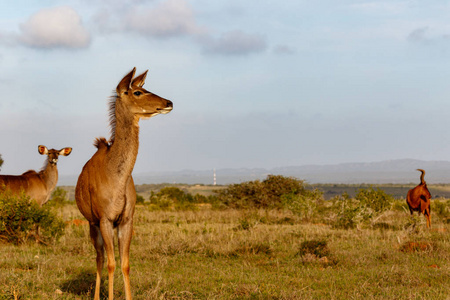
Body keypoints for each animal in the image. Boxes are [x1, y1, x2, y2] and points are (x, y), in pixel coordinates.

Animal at [74, 68, 173, 300]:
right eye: (137, 91)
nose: (168, 102)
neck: (116, 177)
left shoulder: (126, 220)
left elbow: (125, 264)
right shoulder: (105, 219)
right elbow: (111, 263)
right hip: (93, 225)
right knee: (100, 258)